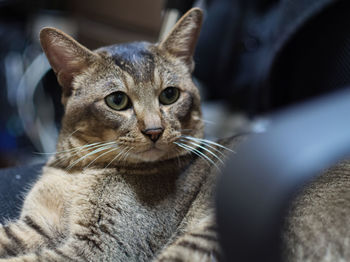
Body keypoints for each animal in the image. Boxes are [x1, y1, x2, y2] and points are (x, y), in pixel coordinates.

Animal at [0, 7, 241, 260]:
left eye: (170, 95)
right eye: (117, 100)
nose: (154, 130)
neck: (80, 170)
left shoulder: (101, 248)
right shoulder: (39, 224)